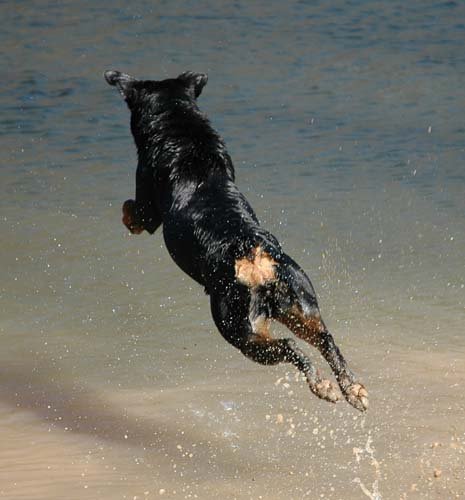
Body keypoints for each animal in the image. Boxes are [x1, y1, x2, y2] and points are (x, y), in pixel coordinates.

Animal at [104, 70, 368, 412]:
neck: (182, 130)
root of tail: (252, 254)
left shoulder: (148, 207)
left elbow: (131, 210)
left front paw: (124, 215)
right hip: (300, 305)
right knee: (326, 339)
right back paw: (352, 389)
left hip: (238, 330)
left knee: (290, 346)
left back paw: (322, 385)